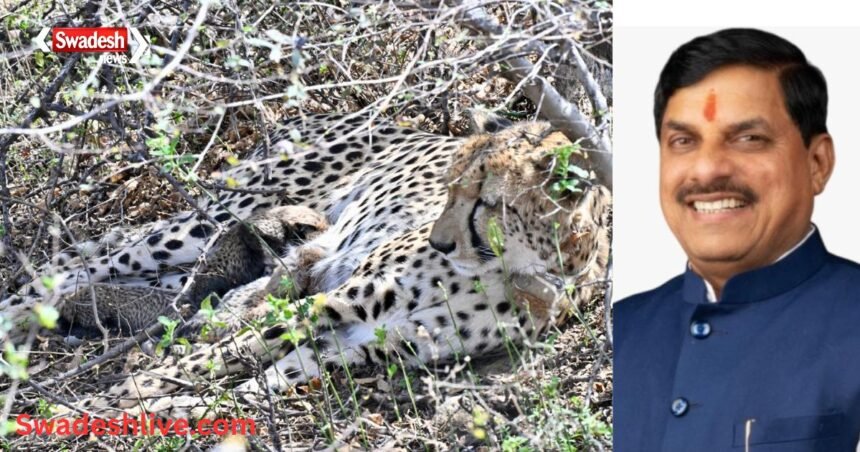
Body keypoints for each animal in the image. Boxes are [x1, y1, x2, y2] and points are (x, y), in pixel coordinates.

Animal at [0, 111, 611, 419]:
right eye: (447, 189)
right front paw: (120, 397)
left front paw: (173, 407)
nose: (439, 243)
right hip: (218, 214)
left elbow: (255, 382)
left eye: (483, 200)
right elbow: (217, 358)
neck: (523, 269)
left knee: (159, 286)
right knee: (86, 261)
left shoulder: (364, 343)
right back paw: (23, 318)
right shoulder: (331, 303)